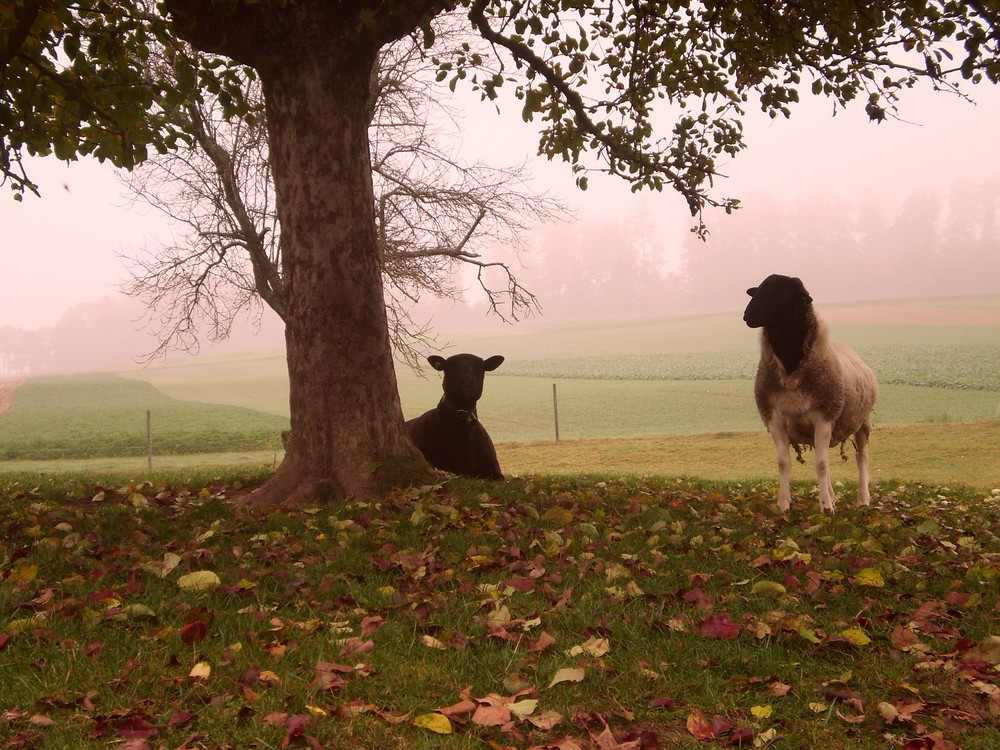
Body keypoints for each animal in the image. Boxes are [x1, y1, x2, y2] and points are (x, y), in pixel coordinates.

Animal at [744, 276, 876, 516]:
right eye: (758, 291)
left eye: (783, 292)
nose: (747, 315)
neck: (790, 369)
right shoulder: (774, 418)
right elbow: (784, 462)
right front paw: (783, 504)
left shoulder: (824, 415)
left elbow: (821, 464)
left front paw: (826, 507)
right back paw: (833, 496)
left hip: (862, 421)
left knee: (861, 457)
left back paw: (862, 499)